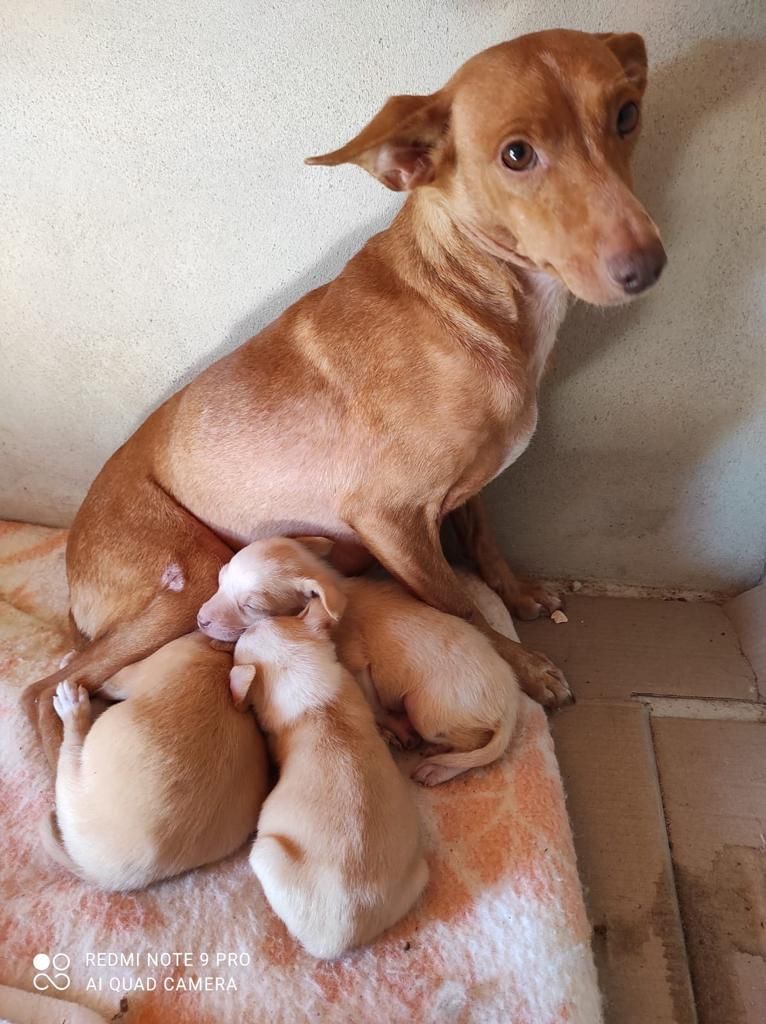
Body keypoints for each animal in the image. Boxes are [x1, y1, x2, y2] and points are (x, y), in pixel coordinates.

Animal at [43, 630, 268, 888]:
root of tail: (109, 876)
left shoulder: (125, 676)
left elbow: (105, 683)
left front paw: (70, 664)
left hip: (72, 779)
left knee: (72, 743)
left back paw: (72, 706)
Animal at [197, 536, 520, 782]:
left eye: (251, 606)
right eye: (221, 580)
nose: (200, 620)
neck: (332, 593)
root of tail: (510, 701)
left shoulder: (357, 664)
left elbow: (374, 705)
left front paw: (392, 728)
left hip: (425, 710)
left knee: (474, 745)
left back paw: (437, 766)